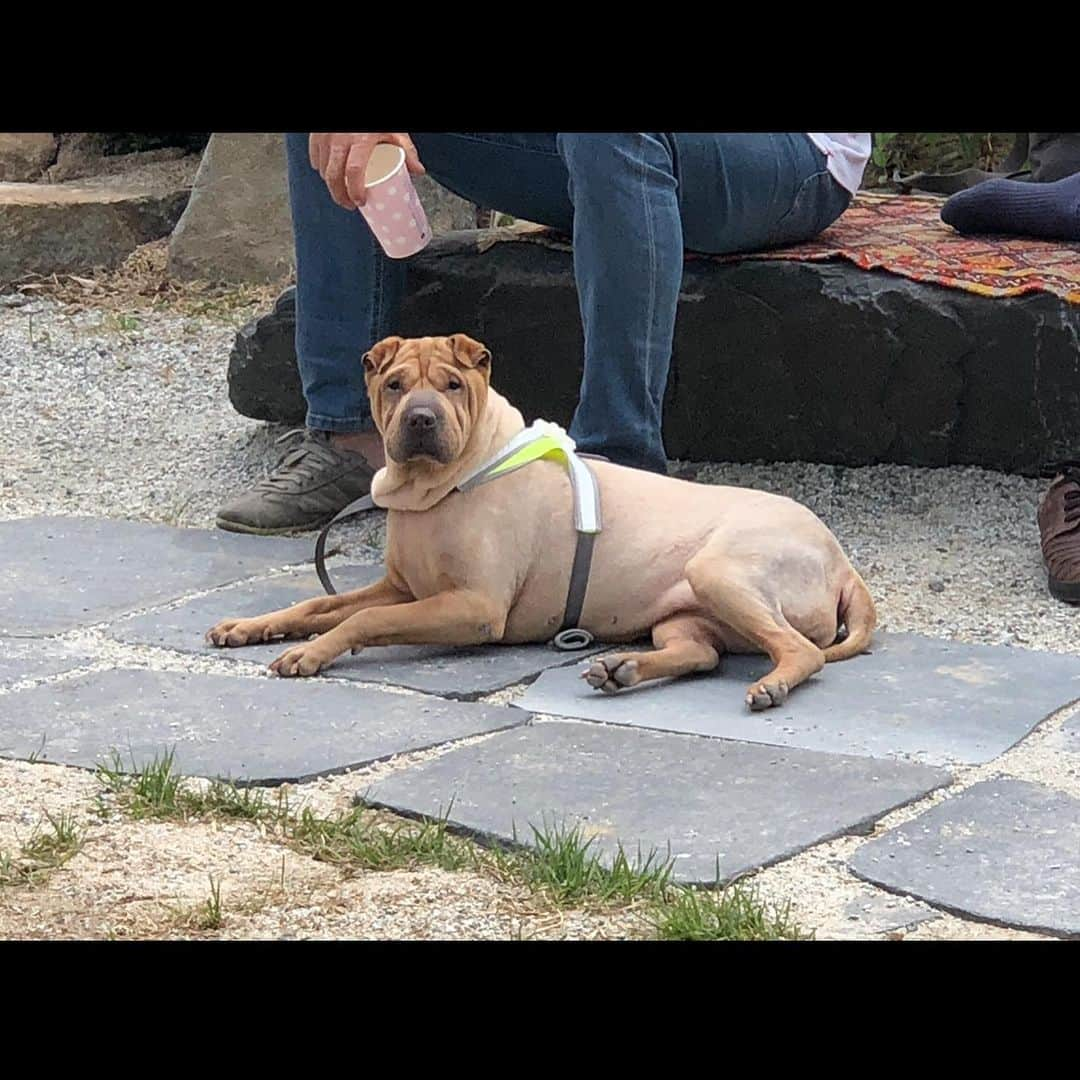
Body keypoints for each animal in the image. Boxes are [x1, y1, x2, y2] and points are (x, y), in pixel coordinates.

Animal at [206, 332, 872, 712]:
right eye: (393, 385)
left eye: (453, 384)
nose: (420, 418)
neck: (438, 489)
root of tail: (843, 565)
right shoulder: (400, 587)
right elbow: (316, 605)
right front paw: (251, 627)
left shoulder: (474, 608)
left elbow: (364, 620)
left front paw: (311, 654)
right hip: (683, 612)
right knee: (700, 654)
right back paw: (623, 669)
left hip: (721, 571)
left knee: (799, 651)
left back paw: (769, 685)